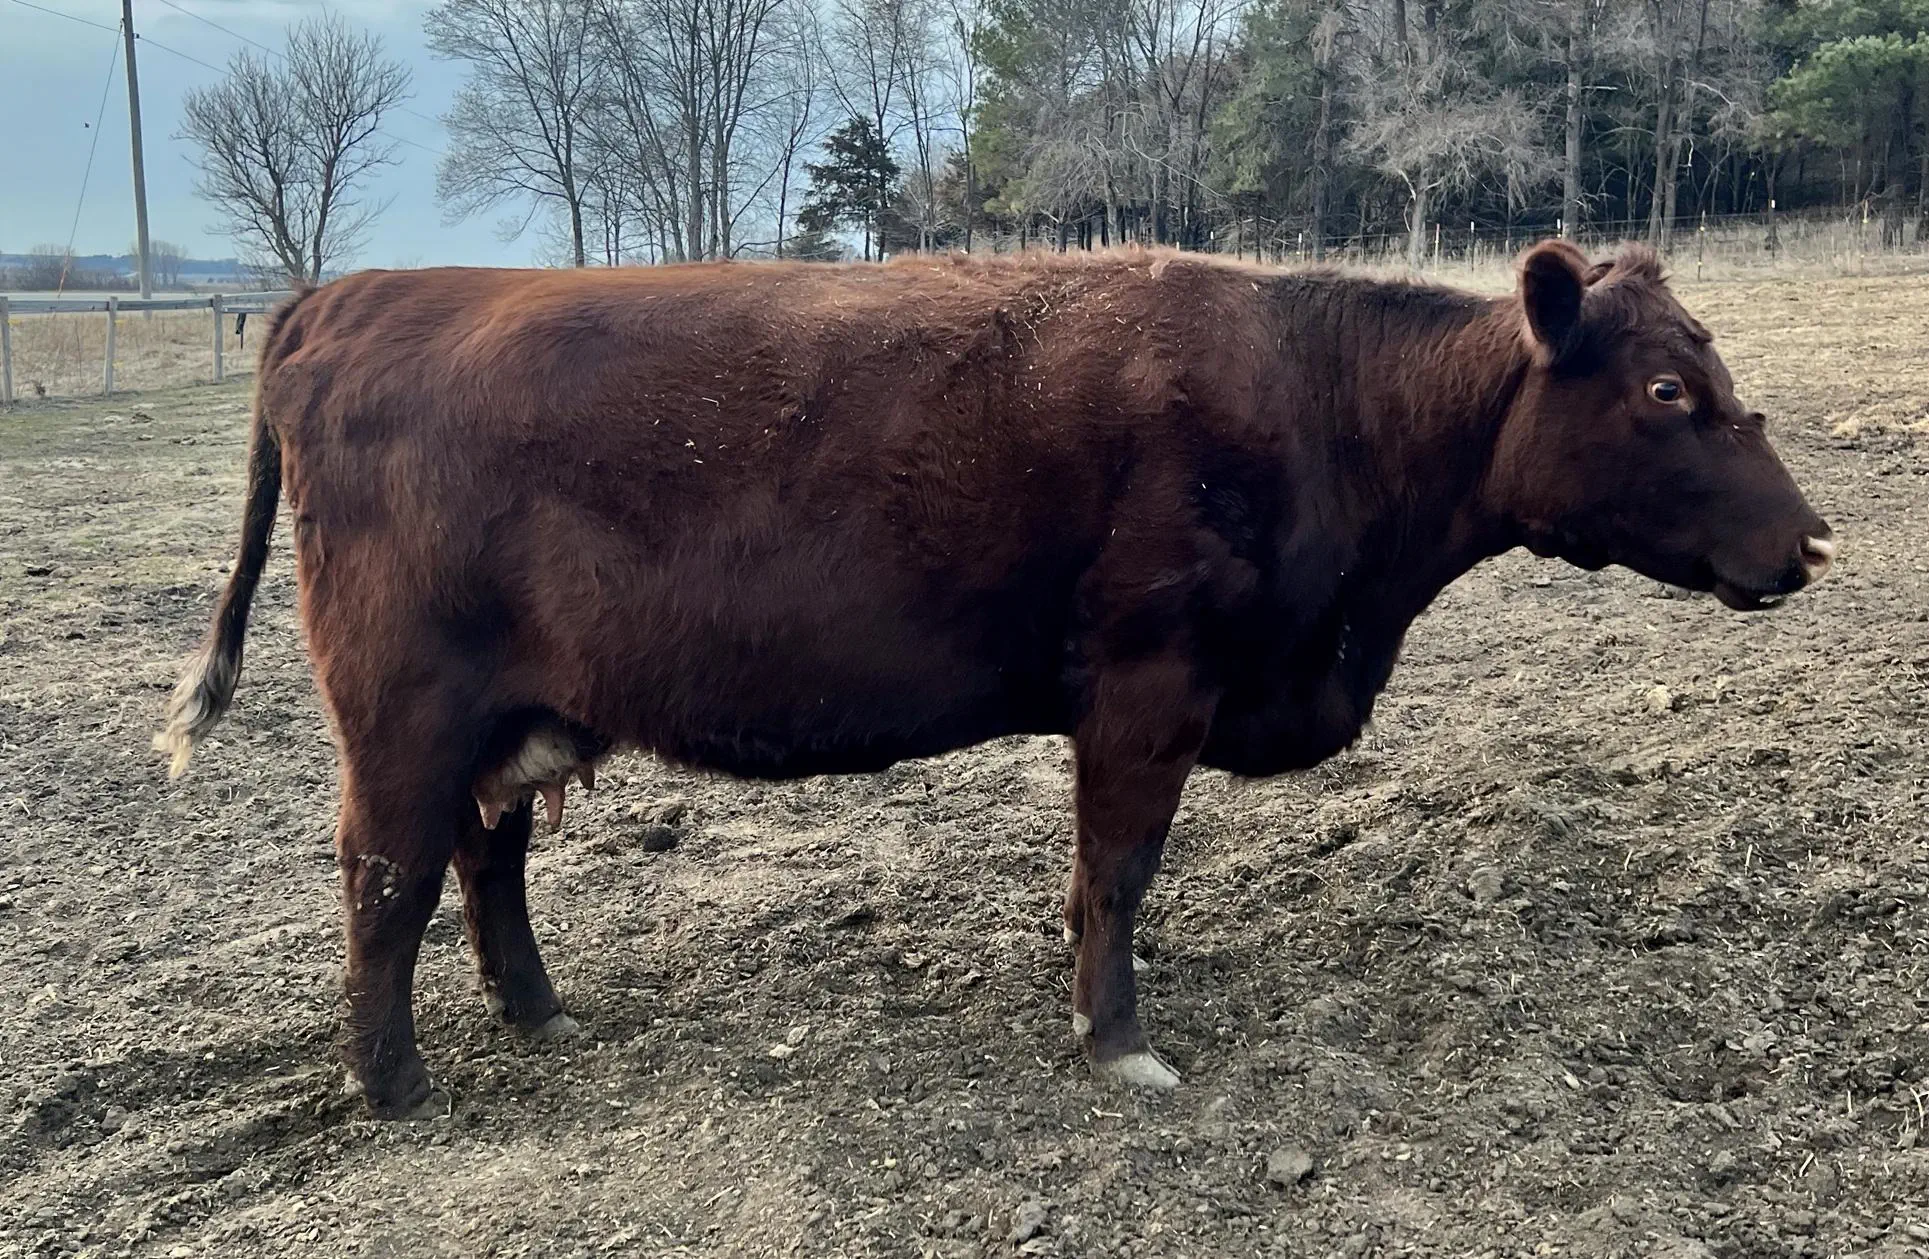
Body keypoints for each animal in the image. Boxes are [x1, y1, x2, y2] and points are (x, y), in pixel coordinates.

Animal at [154, 241, 1835, 1118]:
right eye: (1668, 389)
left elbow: (1098, 872)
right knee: (386, 876)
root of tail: (349, 293)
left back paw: (538, 1016)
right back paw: (393, 1080)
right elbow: (1119, 865)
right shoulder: (1148, 685)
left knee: (483, 859)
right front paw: (1118, 1037)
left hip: (507, 713)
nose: (1813, 535)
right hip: (403, 712)